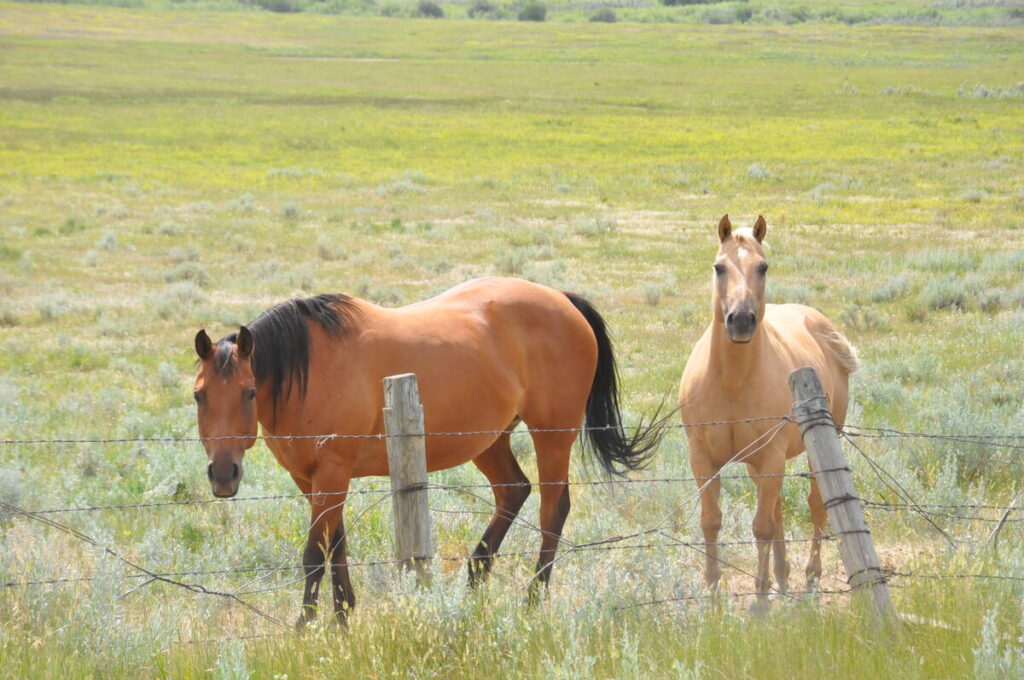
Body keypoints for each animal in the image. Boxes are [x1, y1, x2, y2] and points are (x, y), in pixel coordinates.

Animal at [192, 276, 662, 626]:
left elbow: (314, 555)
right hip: (490, 439)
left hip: (551, 433)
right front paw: (343, 618)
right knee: (513, 491)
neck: (310, 371)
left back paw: (531, 599)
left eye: (250, 392)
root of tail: (563, 299)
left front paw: (306, 628)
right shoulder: (310, 479)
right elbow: (336, 546)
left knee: (553, 508)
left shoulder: (332, 473)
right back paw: (474, 581)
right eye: (199, 395)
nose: (223, 474)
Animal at [678, 215, 859, 605]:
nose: (741, 320)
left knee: (815, 505)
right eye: (719, 267)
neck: (731, 381)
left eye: (763, 267)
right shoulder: (703, 459)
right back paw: (782, 575)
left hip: (818, 445)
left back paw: (809, 577)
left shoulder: (771, 455)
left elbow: (761, 526)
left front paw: (759, 601)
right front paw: (712, 592)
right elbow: (711, 520)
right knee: (776, 511)